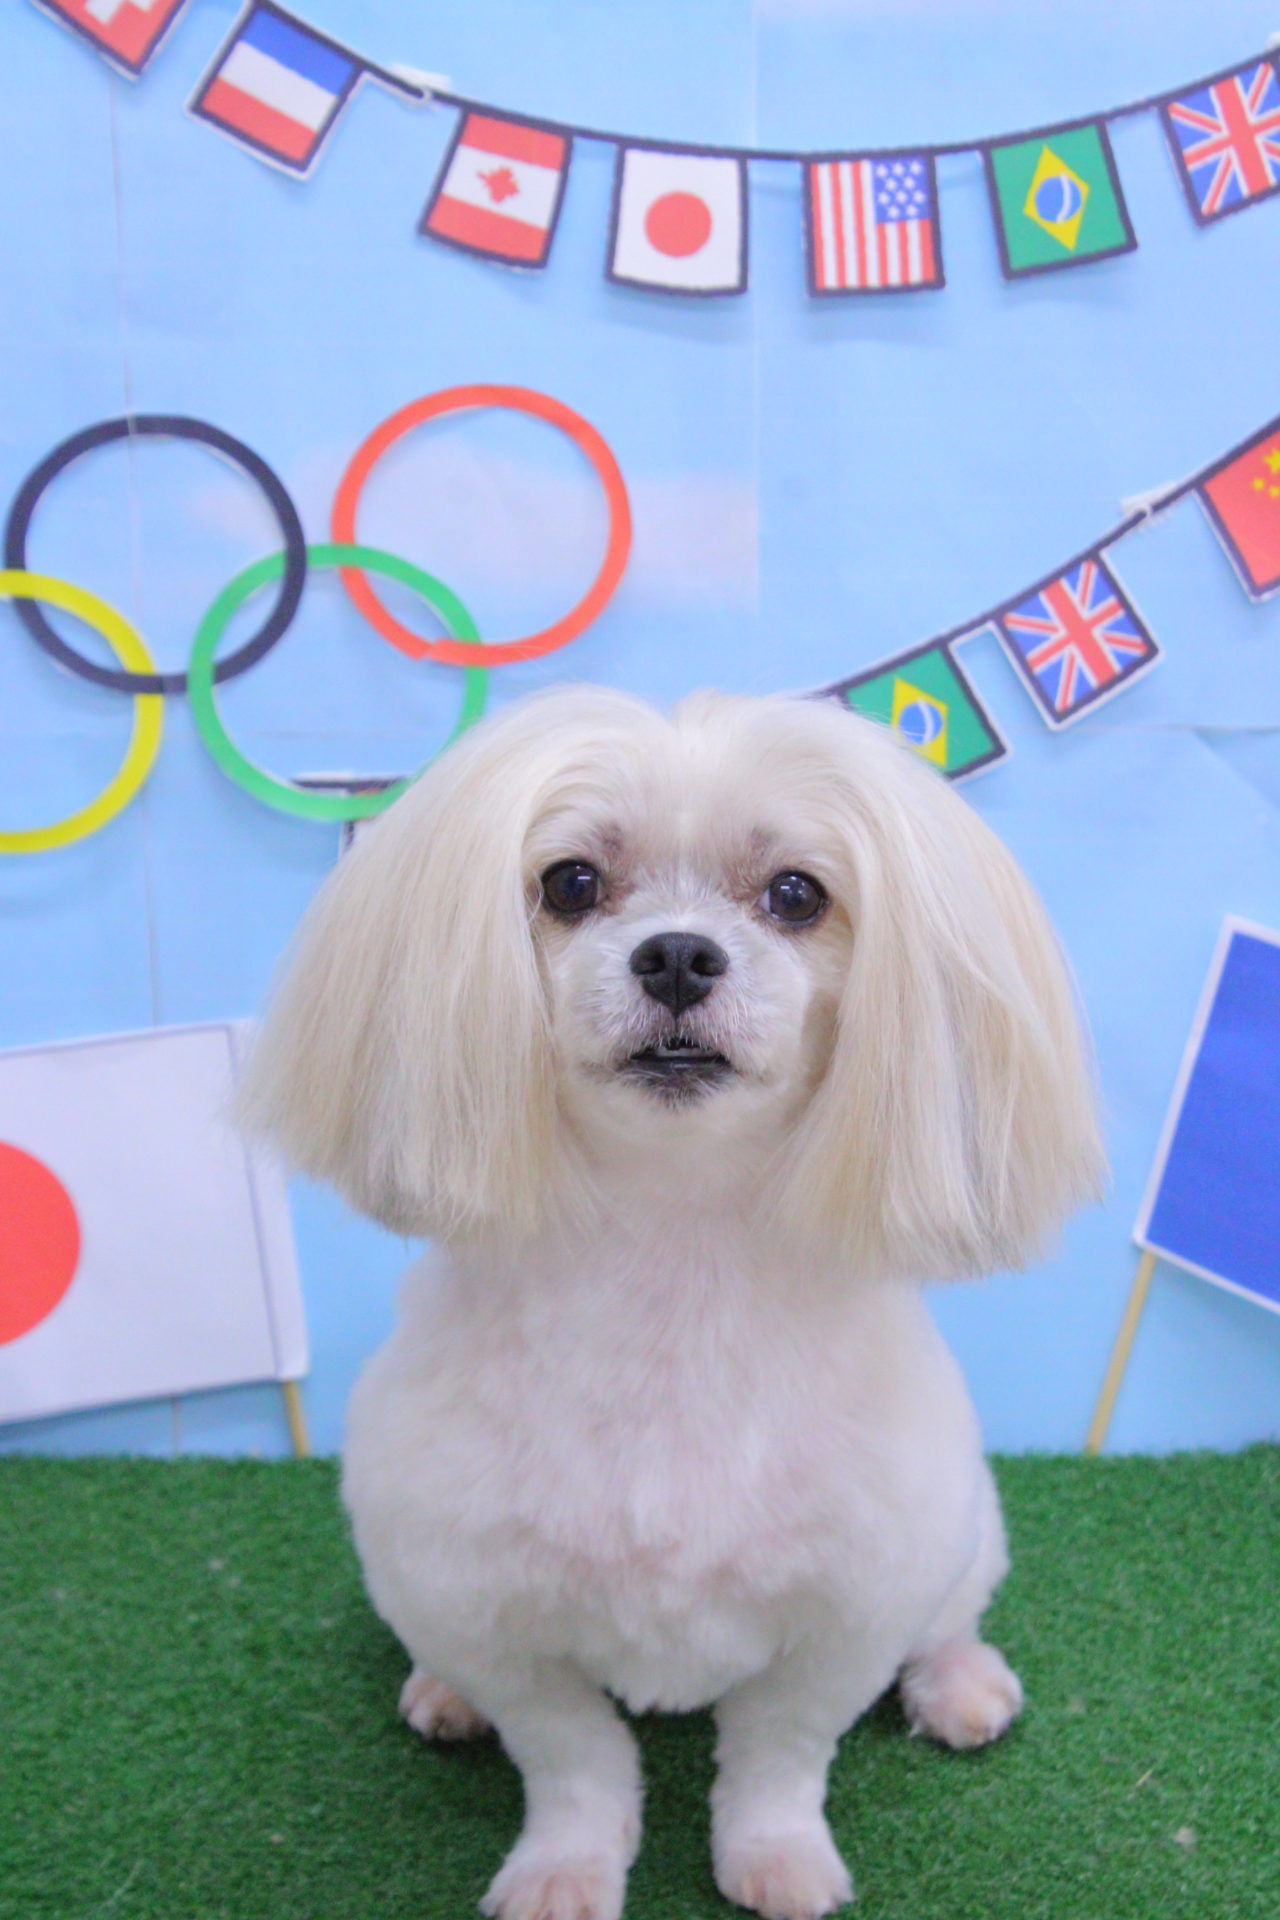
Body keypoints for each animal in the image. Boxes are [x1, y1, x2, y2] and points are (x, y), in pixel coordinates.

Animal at [241, 686, 1104, 1920]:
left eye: (796, 893)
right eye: (569, 883)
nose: (680, 954)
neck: (673, 1258)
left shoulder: (848, 1609)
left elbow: (781, 1754)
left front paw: (777, 1859)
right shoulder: (482, 1605)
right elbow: (572, 1758)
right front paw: (562, 1869)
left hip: (963, 1533)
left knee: (953, 1615)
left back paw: (960, 1685)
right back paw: (442, 1695)